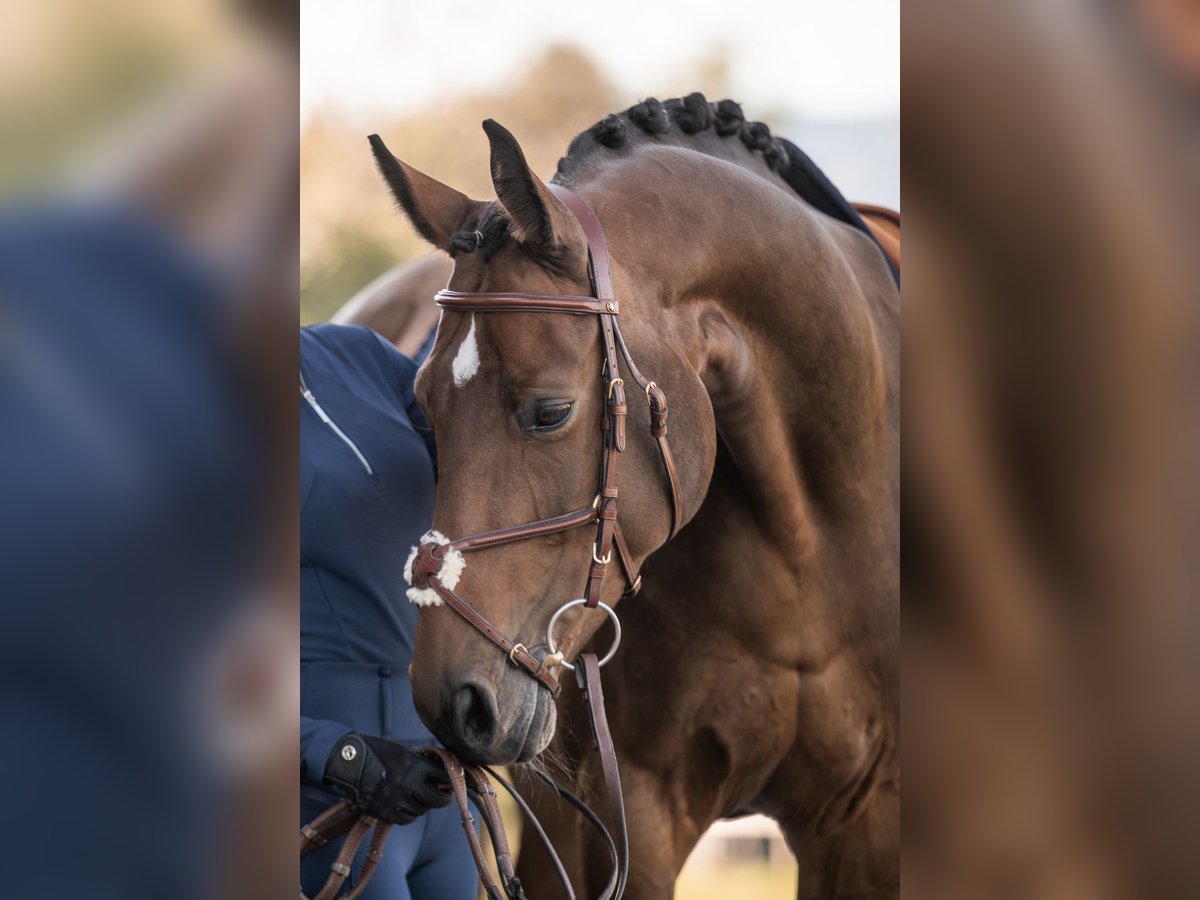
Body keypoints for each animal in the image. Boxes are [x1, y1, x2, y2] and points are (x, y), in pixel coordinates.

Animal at [366, 94, 899, 899]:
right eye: (423, 407)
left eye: (550, 411)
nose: (450, 701)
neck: (806, 544)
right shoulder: (636, 813)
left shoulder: (863, 821)